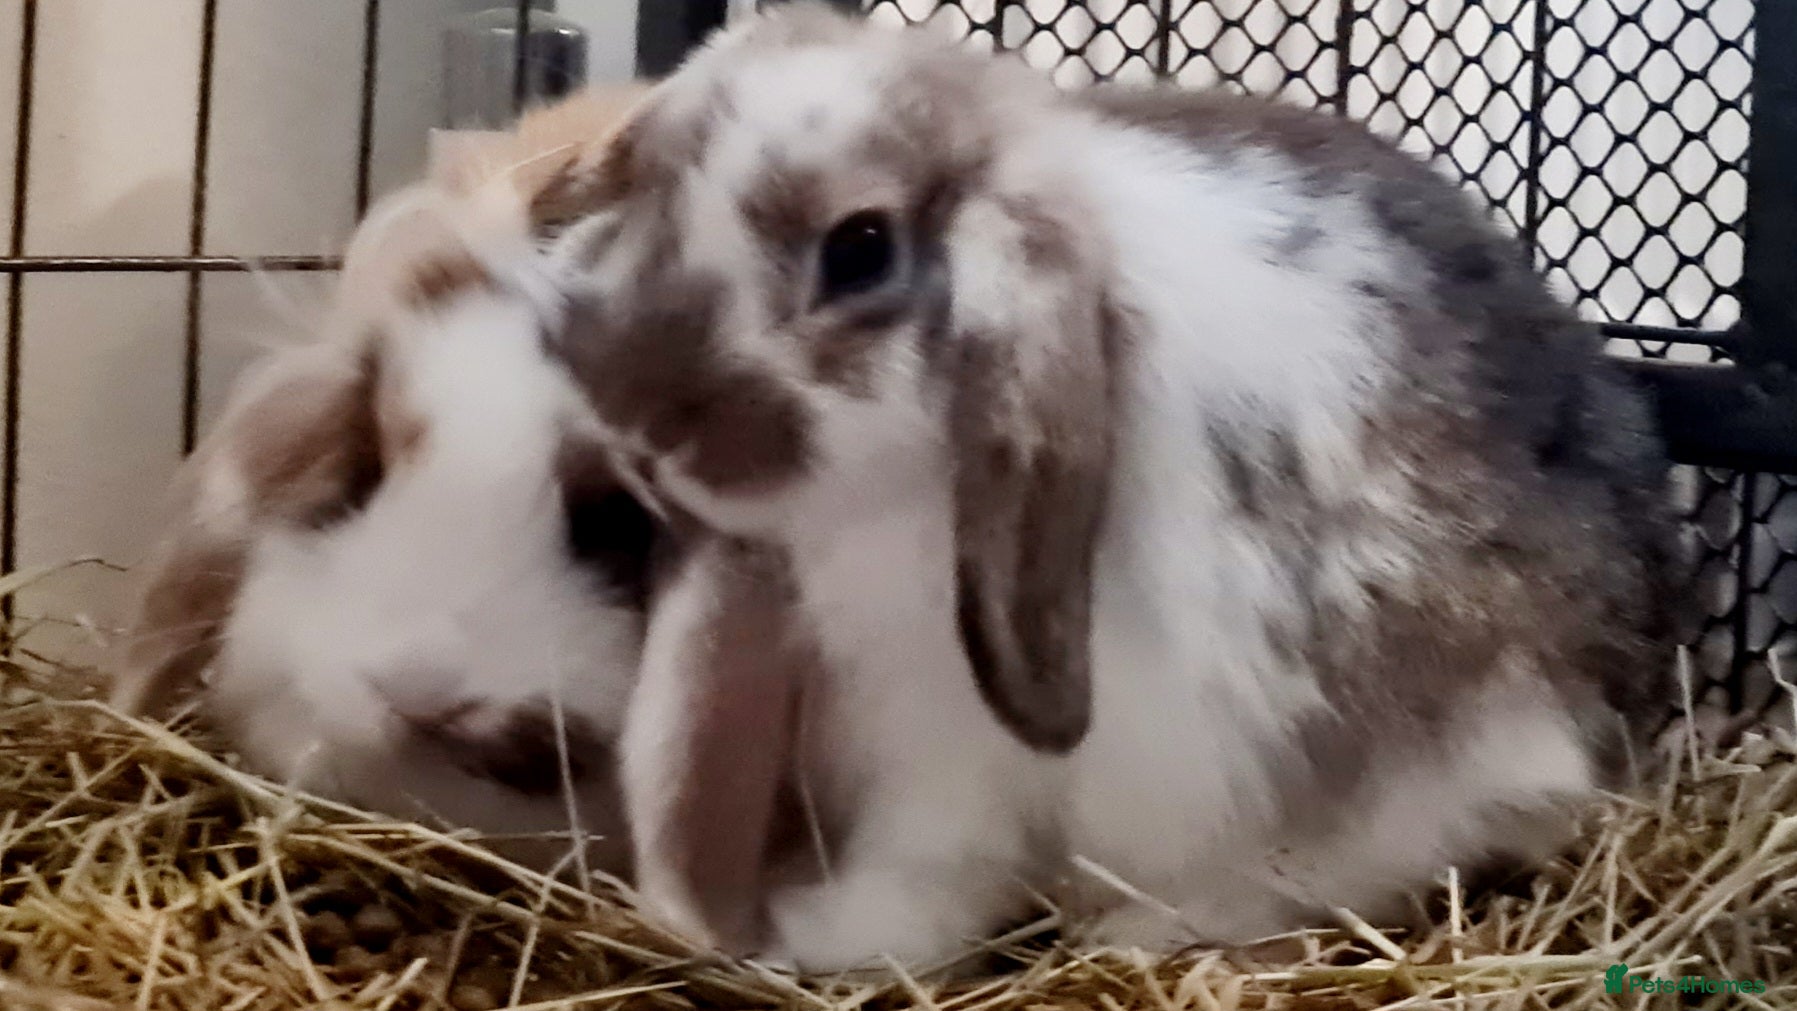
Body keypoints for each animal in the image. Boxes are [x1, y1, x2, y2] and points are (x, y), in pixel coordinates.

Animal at [532, 3, 1678, 969]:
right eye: (647, 193)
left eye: (859, 250)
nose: (637, 424)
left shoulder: (939, 742)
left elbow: (932, 869)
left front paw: (825, 934)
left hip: (1399, 760)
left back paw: (1143, 930)